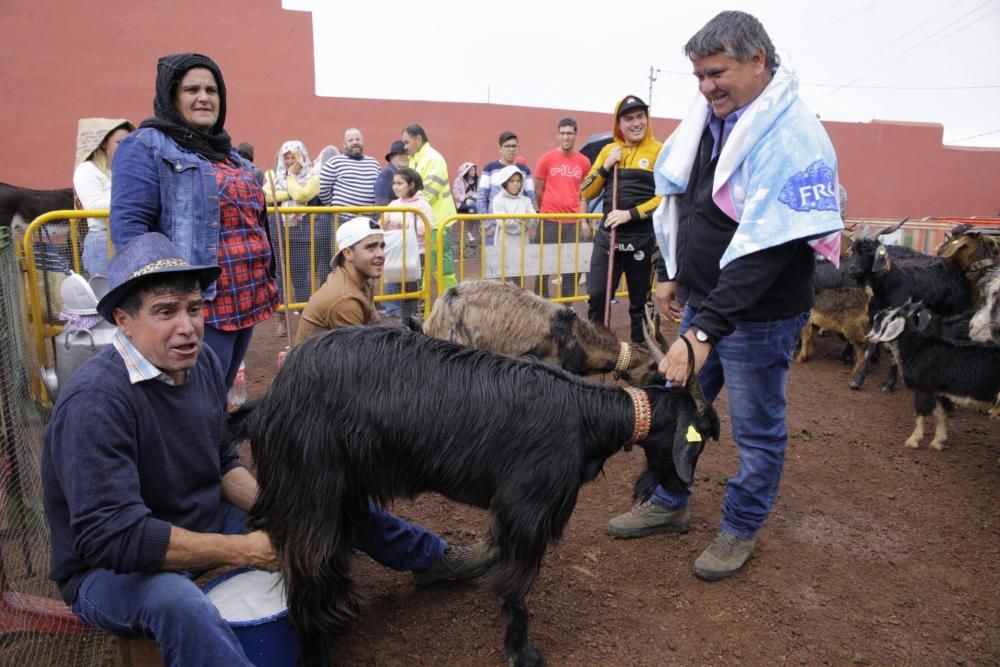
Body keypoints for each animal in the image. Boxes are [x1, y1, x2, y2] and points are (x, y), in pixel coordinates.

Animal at [229, 324, 720, 667]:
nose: (683, 486)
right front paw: (521, 652)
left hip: (342, 493)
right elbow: (516, 587)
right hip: (312, 497)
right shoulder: (528, 510)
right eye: (696, 440)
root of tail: (267, 402)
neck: (586, 417)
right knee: (306, 576)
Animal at [868, 302, 1000, 448]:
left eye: (886, 321)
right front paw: (938, 441)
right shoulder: (937, 390)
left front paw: (913, 440)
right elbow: (938, 414)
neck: (917, 349)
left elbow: (920, 413)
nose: (869, 337)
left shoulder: (924, 387)